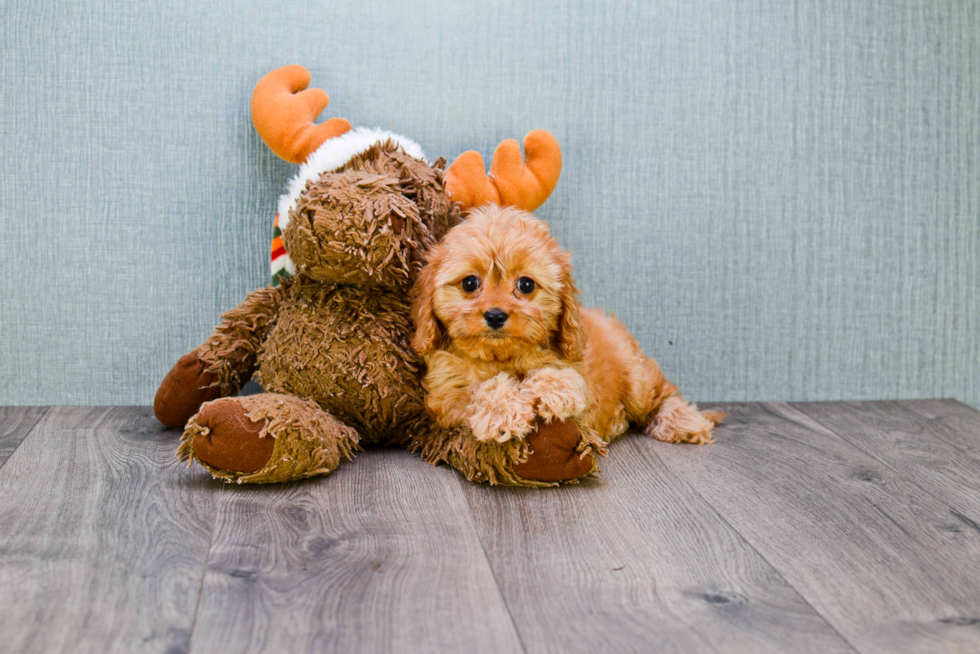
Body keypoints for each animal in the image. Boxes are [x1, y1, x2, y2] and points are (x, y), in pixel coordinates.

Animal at [410, 208, 724, 464]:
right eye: (469, 283)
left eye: (526, 285)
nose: (496, 315)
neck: (503, 357)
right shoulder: (445, 399)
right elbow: (479, 390)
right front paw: (504, 411)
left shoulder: (580, 378)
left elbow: (567, 379)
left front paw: (553, 391)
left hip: (637, 380)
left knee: (663, 393)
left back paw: (683, 421)